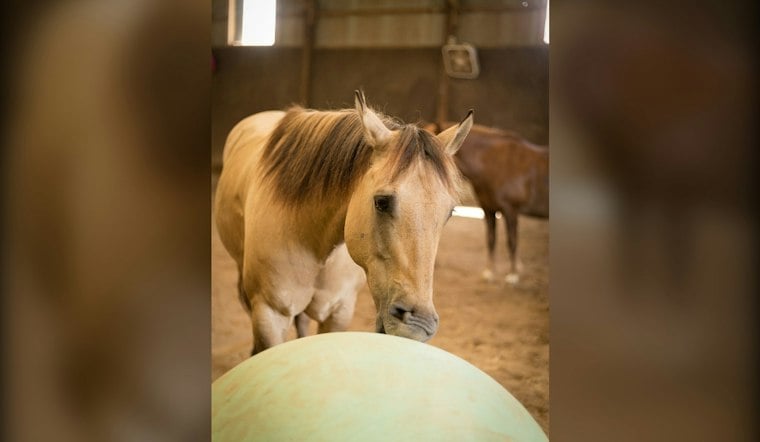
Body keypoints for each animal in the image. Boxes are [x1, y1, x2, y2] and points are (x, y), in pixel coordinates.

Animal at [215, 91, 473, 355]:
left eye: (450, 212)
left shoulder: (339, 312)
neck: (313, 241)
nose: (417, 325)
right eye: (381, 202)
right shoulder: (269, 315)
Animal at [424, 122, 548, 285]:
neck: (495, 163)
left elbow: (512, 241)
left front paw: (513, 274)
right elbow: (491, 239)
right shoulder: (488, 209)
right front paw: (490, 273)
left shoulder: (510, 210)